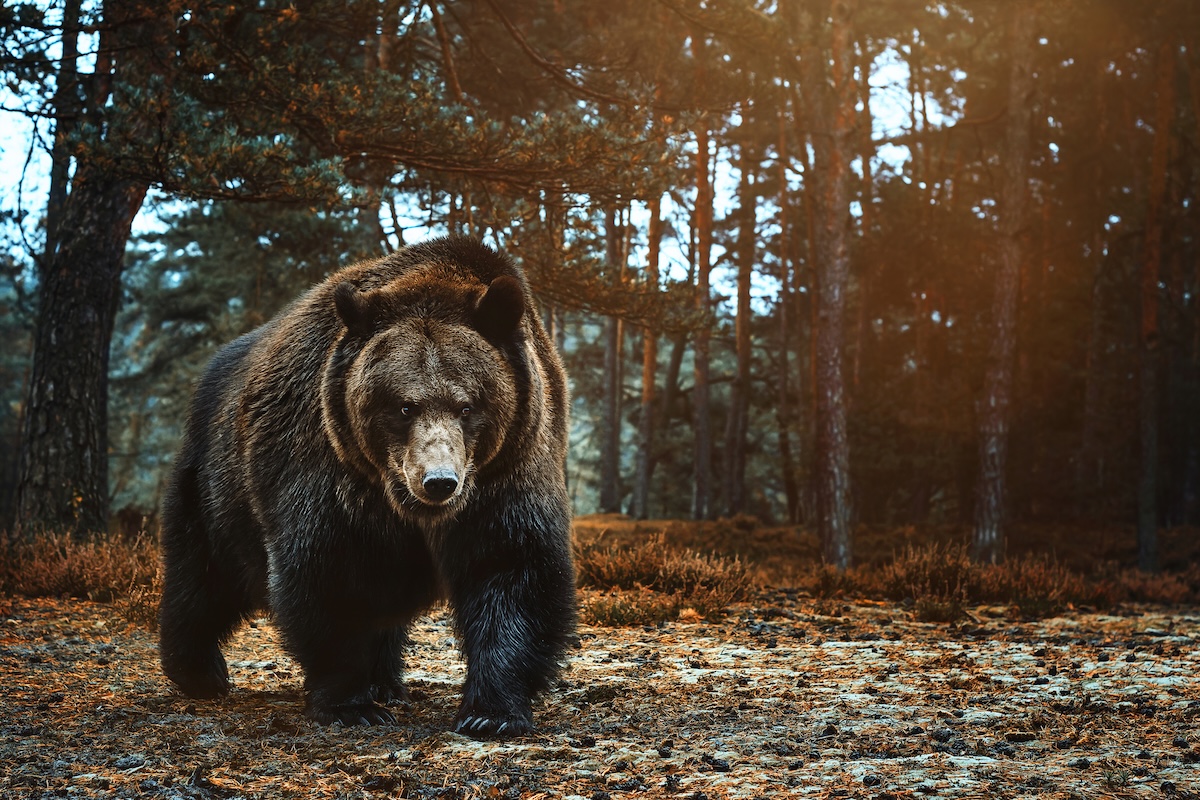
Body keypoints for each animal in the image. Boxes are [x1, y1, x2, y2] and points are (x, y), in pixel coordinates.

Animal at [157, 236, 576, 738]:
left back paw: (386, 682)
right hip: (217, 484)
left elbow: (512, 571)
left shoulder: (507, 470)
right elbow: (330, 574)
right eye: (403, 406)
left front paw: (490, 712)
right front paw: (350, 704)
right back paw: (199, 670)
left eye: (468, 405)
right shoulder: (328, 468)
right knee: (203, 573)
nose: (439, 481)